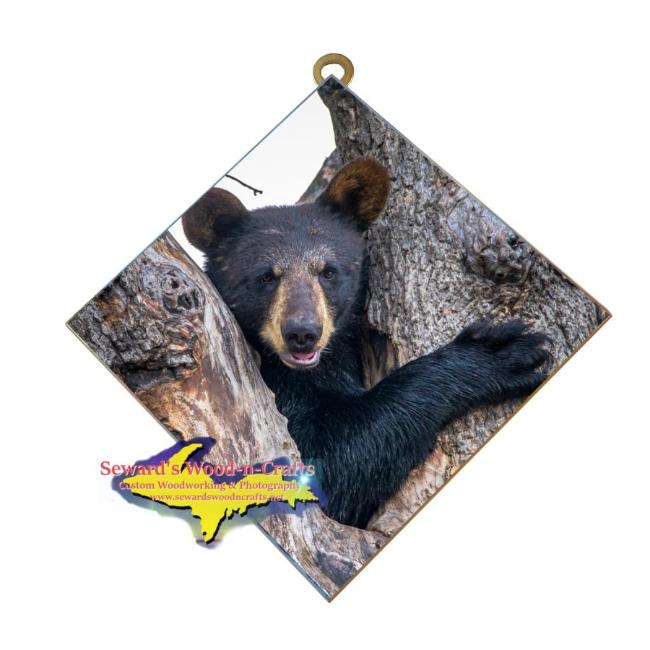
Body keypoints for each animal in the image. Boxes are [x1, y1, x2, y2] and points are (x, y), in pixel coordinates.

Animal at [181, 159, 550, 529]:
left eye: (329, 271)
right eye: (266, 276)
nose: (302, 333)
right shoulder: (273, 396)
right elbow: (330, 462)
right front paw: (503, 354)